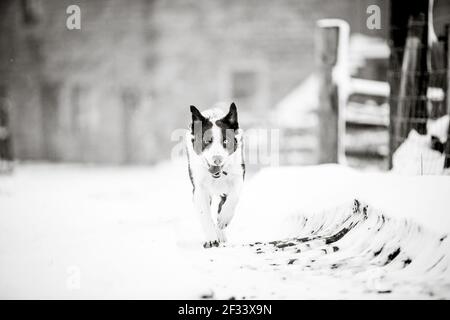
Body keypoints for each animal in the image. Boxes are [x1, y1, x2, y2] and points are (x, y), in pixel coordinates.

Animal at [185, 102, 244, 248]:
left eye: (226, 141)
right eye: (207, 141)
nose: (217, 159)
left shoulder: (238, 176)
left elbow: (233, 198)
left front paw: (223, 219)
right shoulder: (199, 190)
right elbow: (205, 215)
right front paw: (211, 239)